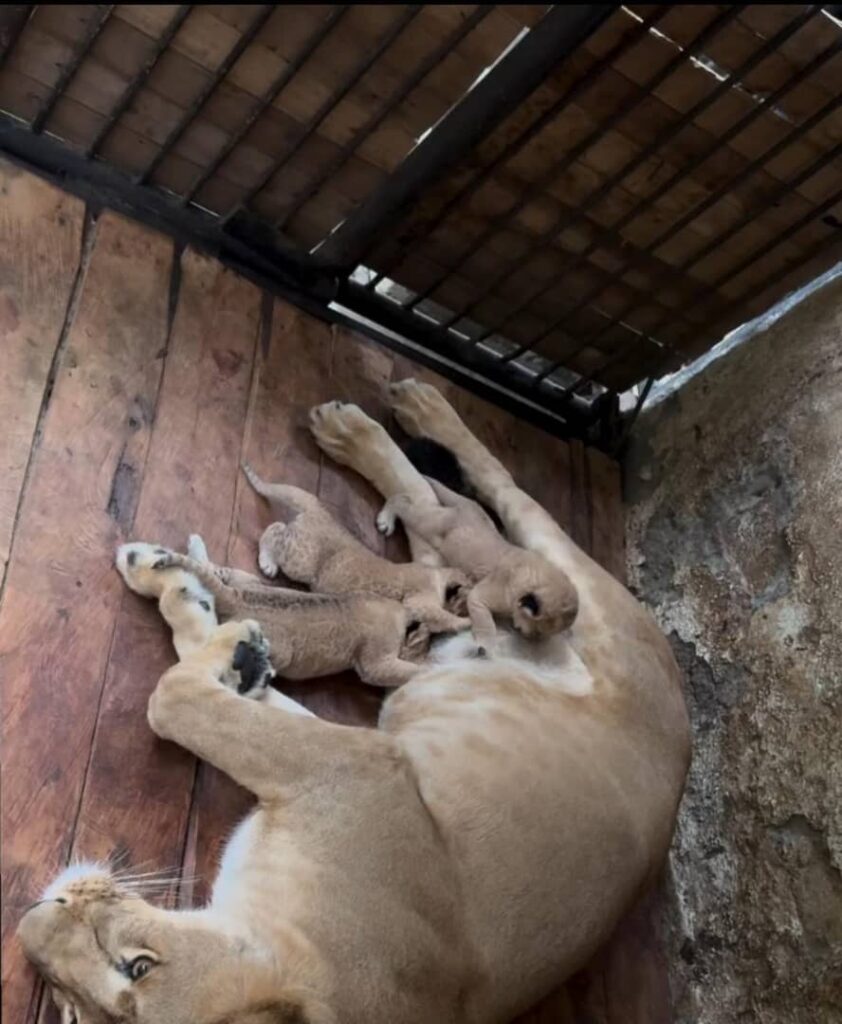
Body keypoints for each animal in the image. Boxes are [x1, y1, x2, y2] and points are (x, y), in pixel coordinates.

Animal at [19, 379, 690, 1024]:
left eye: (138, 967)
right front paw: (206, 613)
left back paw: (377, 421)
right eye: (70, 1011)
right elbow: (214, 662)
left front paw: (211, 619)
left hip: (585, 596)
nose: (30, 920)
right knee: (441, 526)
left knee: (497, 494)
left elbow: (176, 694)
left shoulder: (362, 765)